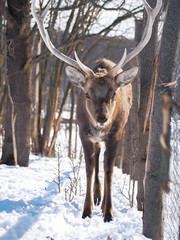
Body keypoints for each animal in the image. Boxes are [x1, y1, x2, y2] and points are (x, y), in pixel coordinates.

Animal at [31, 0, 162, 223]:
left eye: (113, 93)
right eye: (87, 94)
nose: (102, 118)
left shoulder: (116, 133)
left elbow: (109, 169)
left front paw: (108, 212)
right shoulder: (83, 132)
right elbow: (89, 168)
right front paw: (87, 210)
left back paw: (102, 200)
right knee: (97, 155)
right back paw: (97, 196)